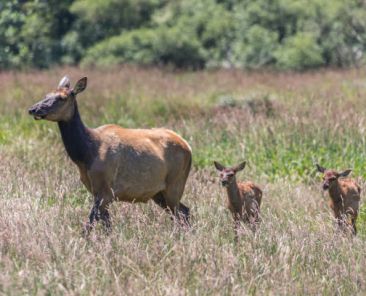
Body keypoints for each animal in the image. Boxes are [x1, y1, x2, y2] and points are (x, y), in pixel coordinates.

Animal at [28, 76, 192, 234]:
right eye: (46, 94)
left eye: (62, 98)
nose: (33, 109)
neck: (85, 155)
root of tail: (188, 147)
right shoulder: (96, 190)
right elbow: (107, 226)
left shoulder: (105, 189)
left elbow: (89, 224)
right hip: (159, 192)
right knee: (184, 211)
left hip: (175, 183)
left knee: (181, 213)